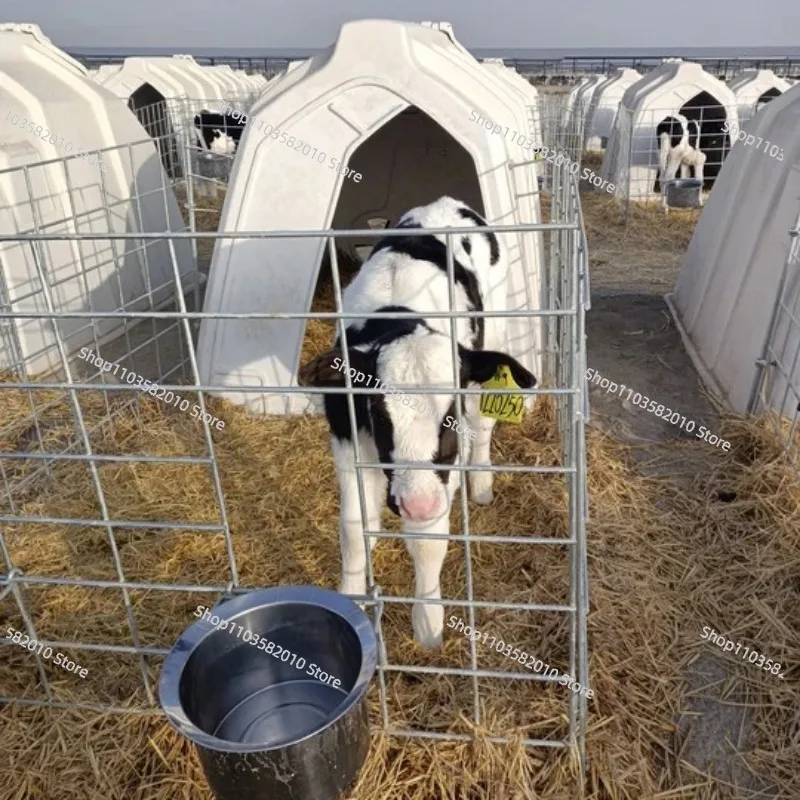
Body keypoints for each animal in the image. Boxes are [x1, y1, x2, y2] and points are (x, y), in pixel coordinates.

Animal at [298, 196, 537, 649]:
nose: (418, 502)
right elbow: (354, 525)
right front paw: (351, 598)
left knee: (484, 425)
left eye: (450, 413)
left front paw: (428, 620)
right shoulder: (346, 435)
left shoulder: (445, 467)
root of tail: (445, 203)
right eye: (377, 411)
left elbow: (427, 540)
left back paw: (482, 482)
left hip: (495, 336)